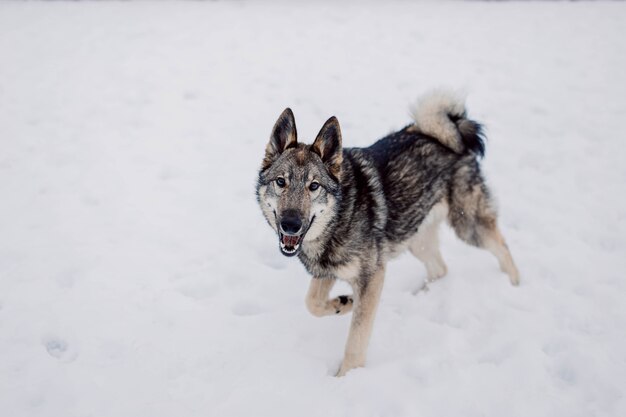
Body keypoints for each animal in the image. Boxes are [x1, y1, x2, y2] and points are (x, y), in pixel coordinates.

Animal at [254, 89, 516, 376]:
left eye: (314, 186)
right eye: (281, 182)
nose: (291, 224)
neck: (341, 215)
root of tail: (453, 130)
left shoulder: (372, 276)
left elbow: (356, 339)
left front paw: (347, 377)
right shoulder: (328, 270)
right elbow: (312, 302)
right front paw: (343, 303)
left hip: (468, 225)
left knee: (502, 247)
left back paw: (514, 285)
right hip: (416, 238)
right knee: (440, 269)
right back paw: (423, 295)